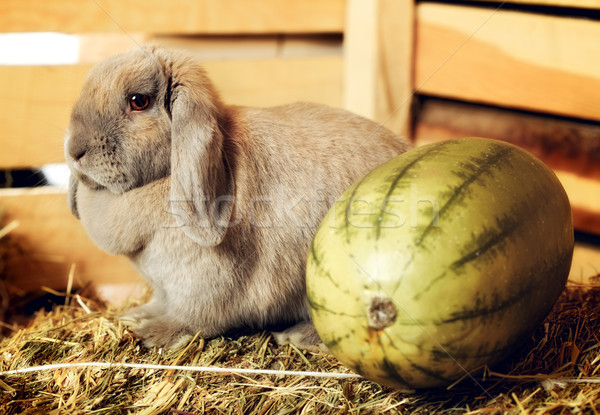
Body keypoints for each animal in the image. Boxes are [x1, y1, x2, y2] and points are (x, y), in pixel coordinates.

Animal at [65, 45, 412, 352]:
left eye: (139, 101)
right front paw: (134, 317)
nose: (74, 151)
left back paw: (298, 337)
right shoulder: (164, 287)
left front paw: (154, 334)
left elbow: (191, 318)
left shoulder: (202, 286)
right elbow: (160, 303)